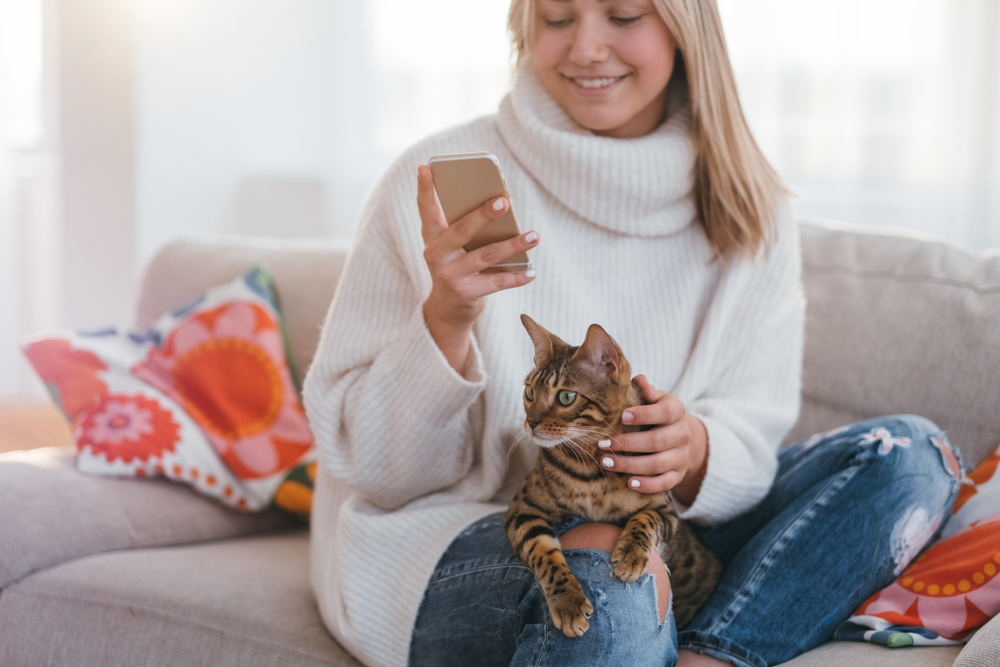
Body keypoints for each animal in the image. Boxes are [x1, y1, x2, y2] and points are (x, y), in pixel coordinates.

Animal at [504, 316, 724, 640]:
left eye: (566, 396)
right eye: (530, 392)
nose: (530, 422)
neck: (589, 466)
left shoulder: (667, 512)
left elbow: (645, 519)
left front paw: (631, 554)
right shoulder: (522, 511)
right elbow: (543, 553)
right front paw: (567, 602)